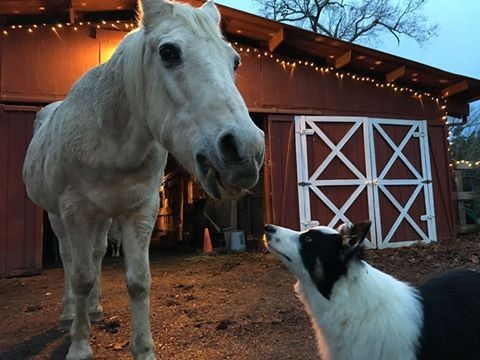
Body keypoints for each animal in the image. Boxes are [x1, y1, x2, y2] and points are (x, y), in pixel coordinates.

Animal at [22, 1, 264, 358]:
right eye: (168, 52)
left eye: (235, 61)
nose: (246, 150)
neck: (109, 141)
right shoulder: (76, 213)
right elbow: (80, 277)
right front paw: (79, 345)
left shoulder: (139, 212)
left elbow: (138, 282)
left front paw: (143, 349)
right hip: (59, 216)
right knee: (70, 261)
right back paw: (69, 317)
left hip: (103, 220)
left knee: (96, 256)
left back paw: (93, 310)